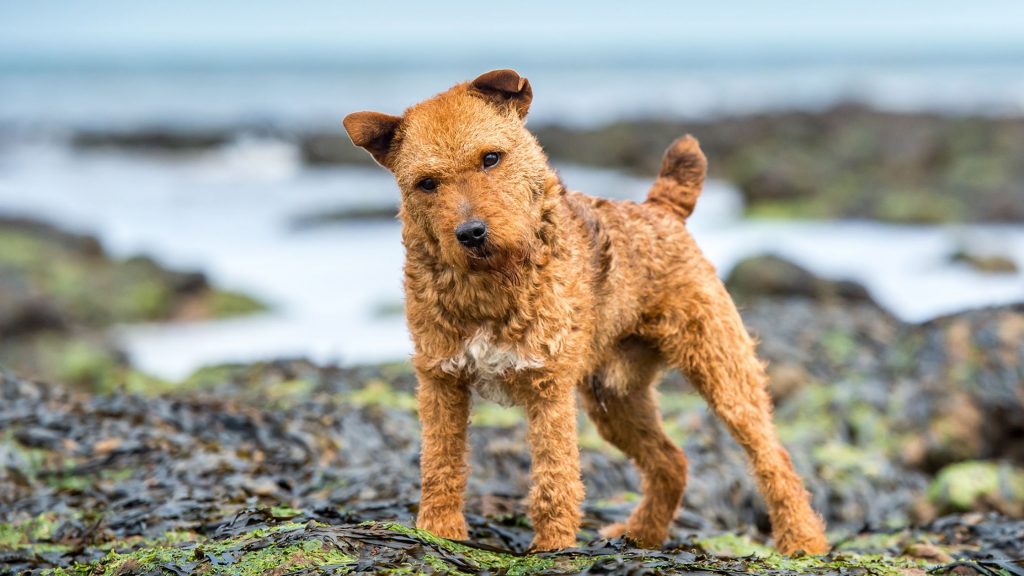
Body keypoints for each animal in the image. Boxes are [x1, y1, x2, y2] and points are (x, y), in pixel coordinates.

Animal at [344, 69, 831, 553]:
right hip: (613, 398)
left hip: (722, 370)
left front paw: (553, 547)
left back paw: (802, 541)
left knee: (772, 458)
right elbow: (440, 464)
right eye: (426, 183)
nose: (471, 233)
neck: (490, 286)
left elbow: (555, 476)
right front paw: (438, 533)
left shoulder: (547, 385)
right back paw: (641, 534)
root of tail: (662, 209)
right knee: (671, 461)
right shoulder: (441, 380)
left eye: (490, 158)